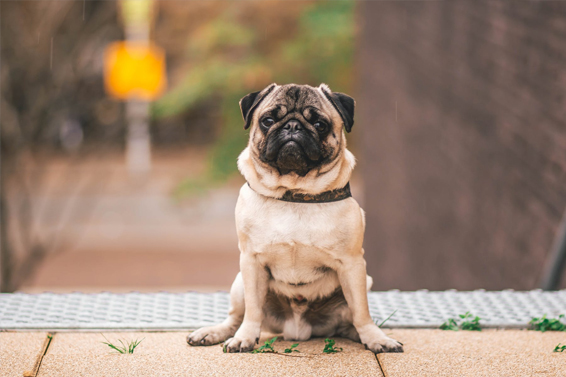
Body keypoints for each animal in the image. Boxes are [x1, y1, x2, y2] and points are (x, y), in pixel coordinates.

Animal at [189, 82, 406, 352]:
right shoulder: (251, 262)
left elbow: (362, 311)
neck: (294, 193)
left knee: (350, 321)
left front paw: (375, 338)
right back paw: (214, 332)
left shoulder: (352, 264)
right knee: (236, 317)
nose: (292, 126)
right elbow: (253, 310)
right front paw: (245, 337)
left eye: (320, 124)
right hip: (239, 283)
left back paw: (363, 335)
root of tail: (297, 329)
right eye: (268, 120)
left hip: (362, 281)